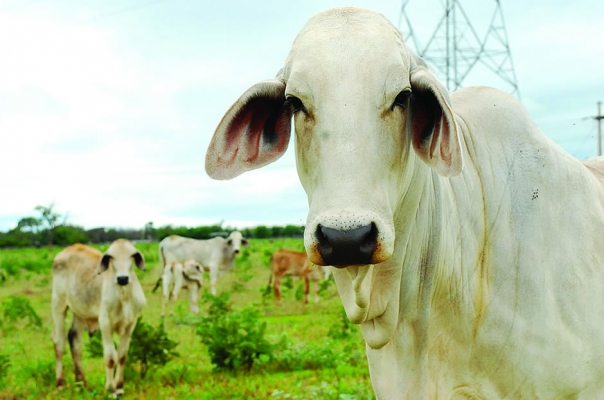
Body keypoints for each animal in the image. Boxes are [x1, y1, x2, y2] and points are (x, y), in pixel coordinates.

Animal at [51, 239, 146, 396]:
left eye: (132, 255)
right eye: (111, 257)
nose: (122, 278)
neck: (123, 295)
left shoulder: (130, 325)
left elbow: (121, 356)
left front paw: (119, 387)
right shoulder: (105, 324)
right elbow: (110, 357)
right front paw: (111, 388)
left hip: (79, 312)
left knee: (74, 340)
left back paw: (81, 383)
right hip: (58, 305)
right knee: (59, 343)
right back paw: (60, 383)